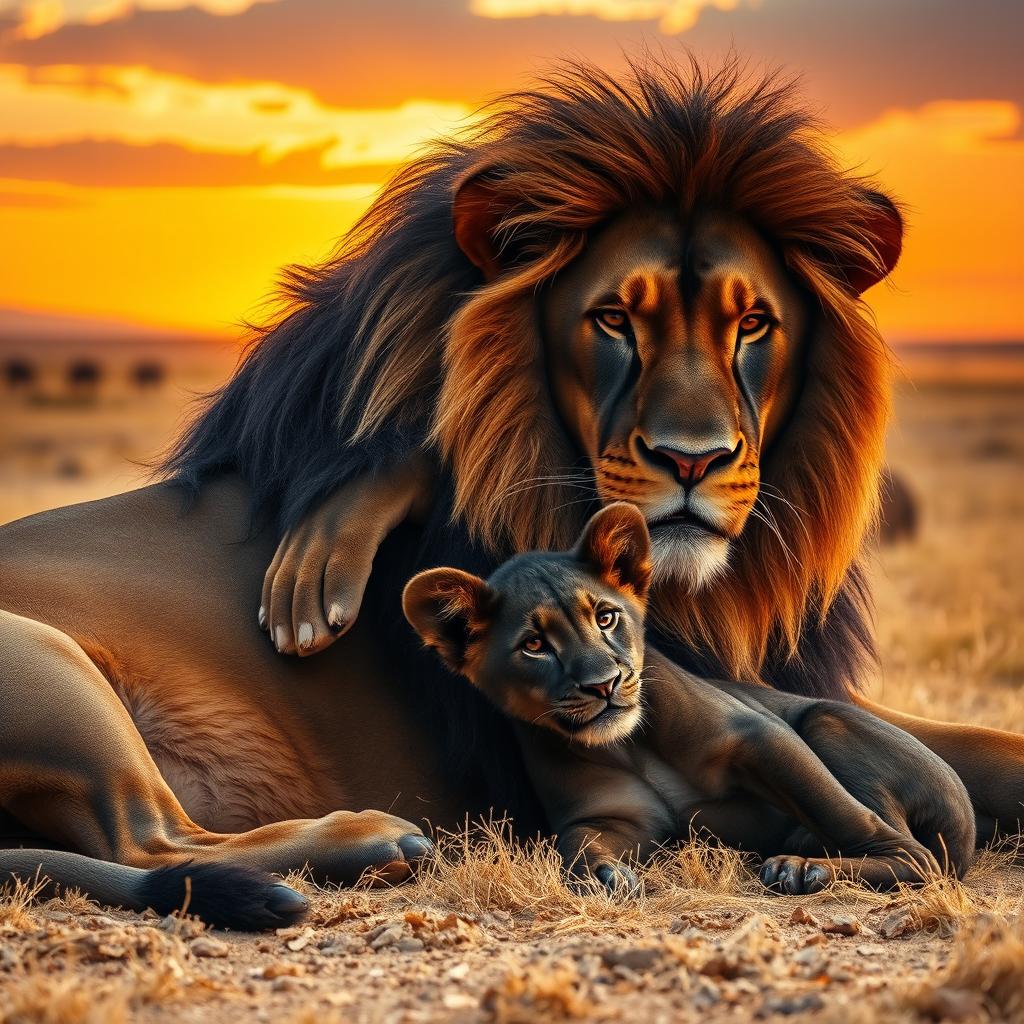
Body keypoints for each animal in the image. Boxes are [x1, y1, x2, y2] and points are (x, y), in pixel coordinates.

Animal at [1, 58, 1021, 927]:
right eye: (613, 320)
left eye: (754, 324)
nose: (691, 459)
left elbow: (985, 751)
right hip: (50, 663)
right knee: (154, 840)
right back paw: (374, 838)